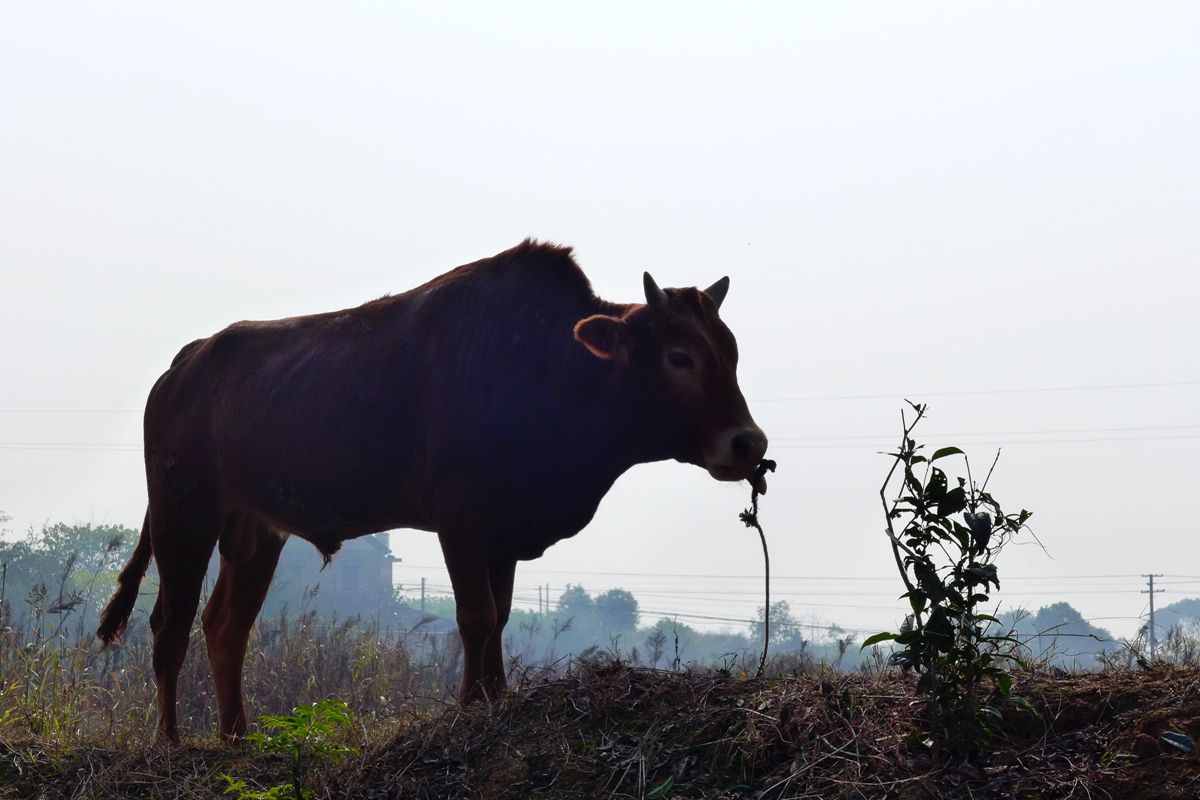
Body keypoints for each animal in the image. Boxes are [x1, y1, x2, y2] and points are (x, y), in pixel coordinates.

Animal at [96, 239, 768, 743]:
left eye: (732, 353)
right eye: (679, 356)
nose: (748, 444)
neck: (547, 364)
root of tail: (187, 363)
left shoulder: (503, 535)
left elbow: (498, 618)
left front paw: (494, 697)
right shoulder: (461, 519)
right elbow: (476, 616)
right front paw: (473, 705)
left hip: (256, 533)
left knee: (224, 627)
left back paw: (236, 736)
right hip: (184, 516)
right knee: (170, 626)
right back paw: (171, 742)